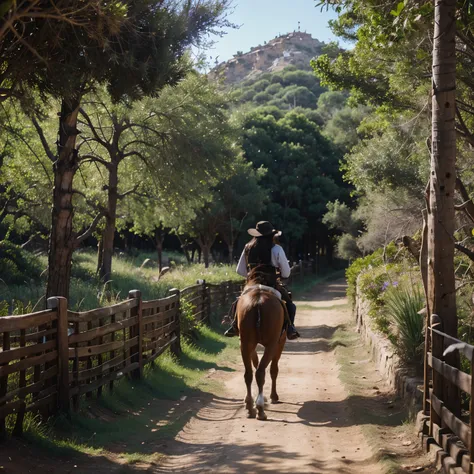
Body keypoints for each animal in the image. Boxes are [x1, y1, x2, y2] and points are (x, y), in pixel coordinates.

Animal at [236, 268, 286, 420]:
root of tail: (258, 301)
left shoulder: (249, 344)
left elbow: (255, 362)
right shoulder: (280, 342)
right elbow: (274, 369)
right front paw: (273, 396)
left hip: (245, 343)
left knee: (249, 373)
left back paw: (250, 406)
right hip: (272, 344)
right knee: (261, 372)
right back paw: (260, 408)